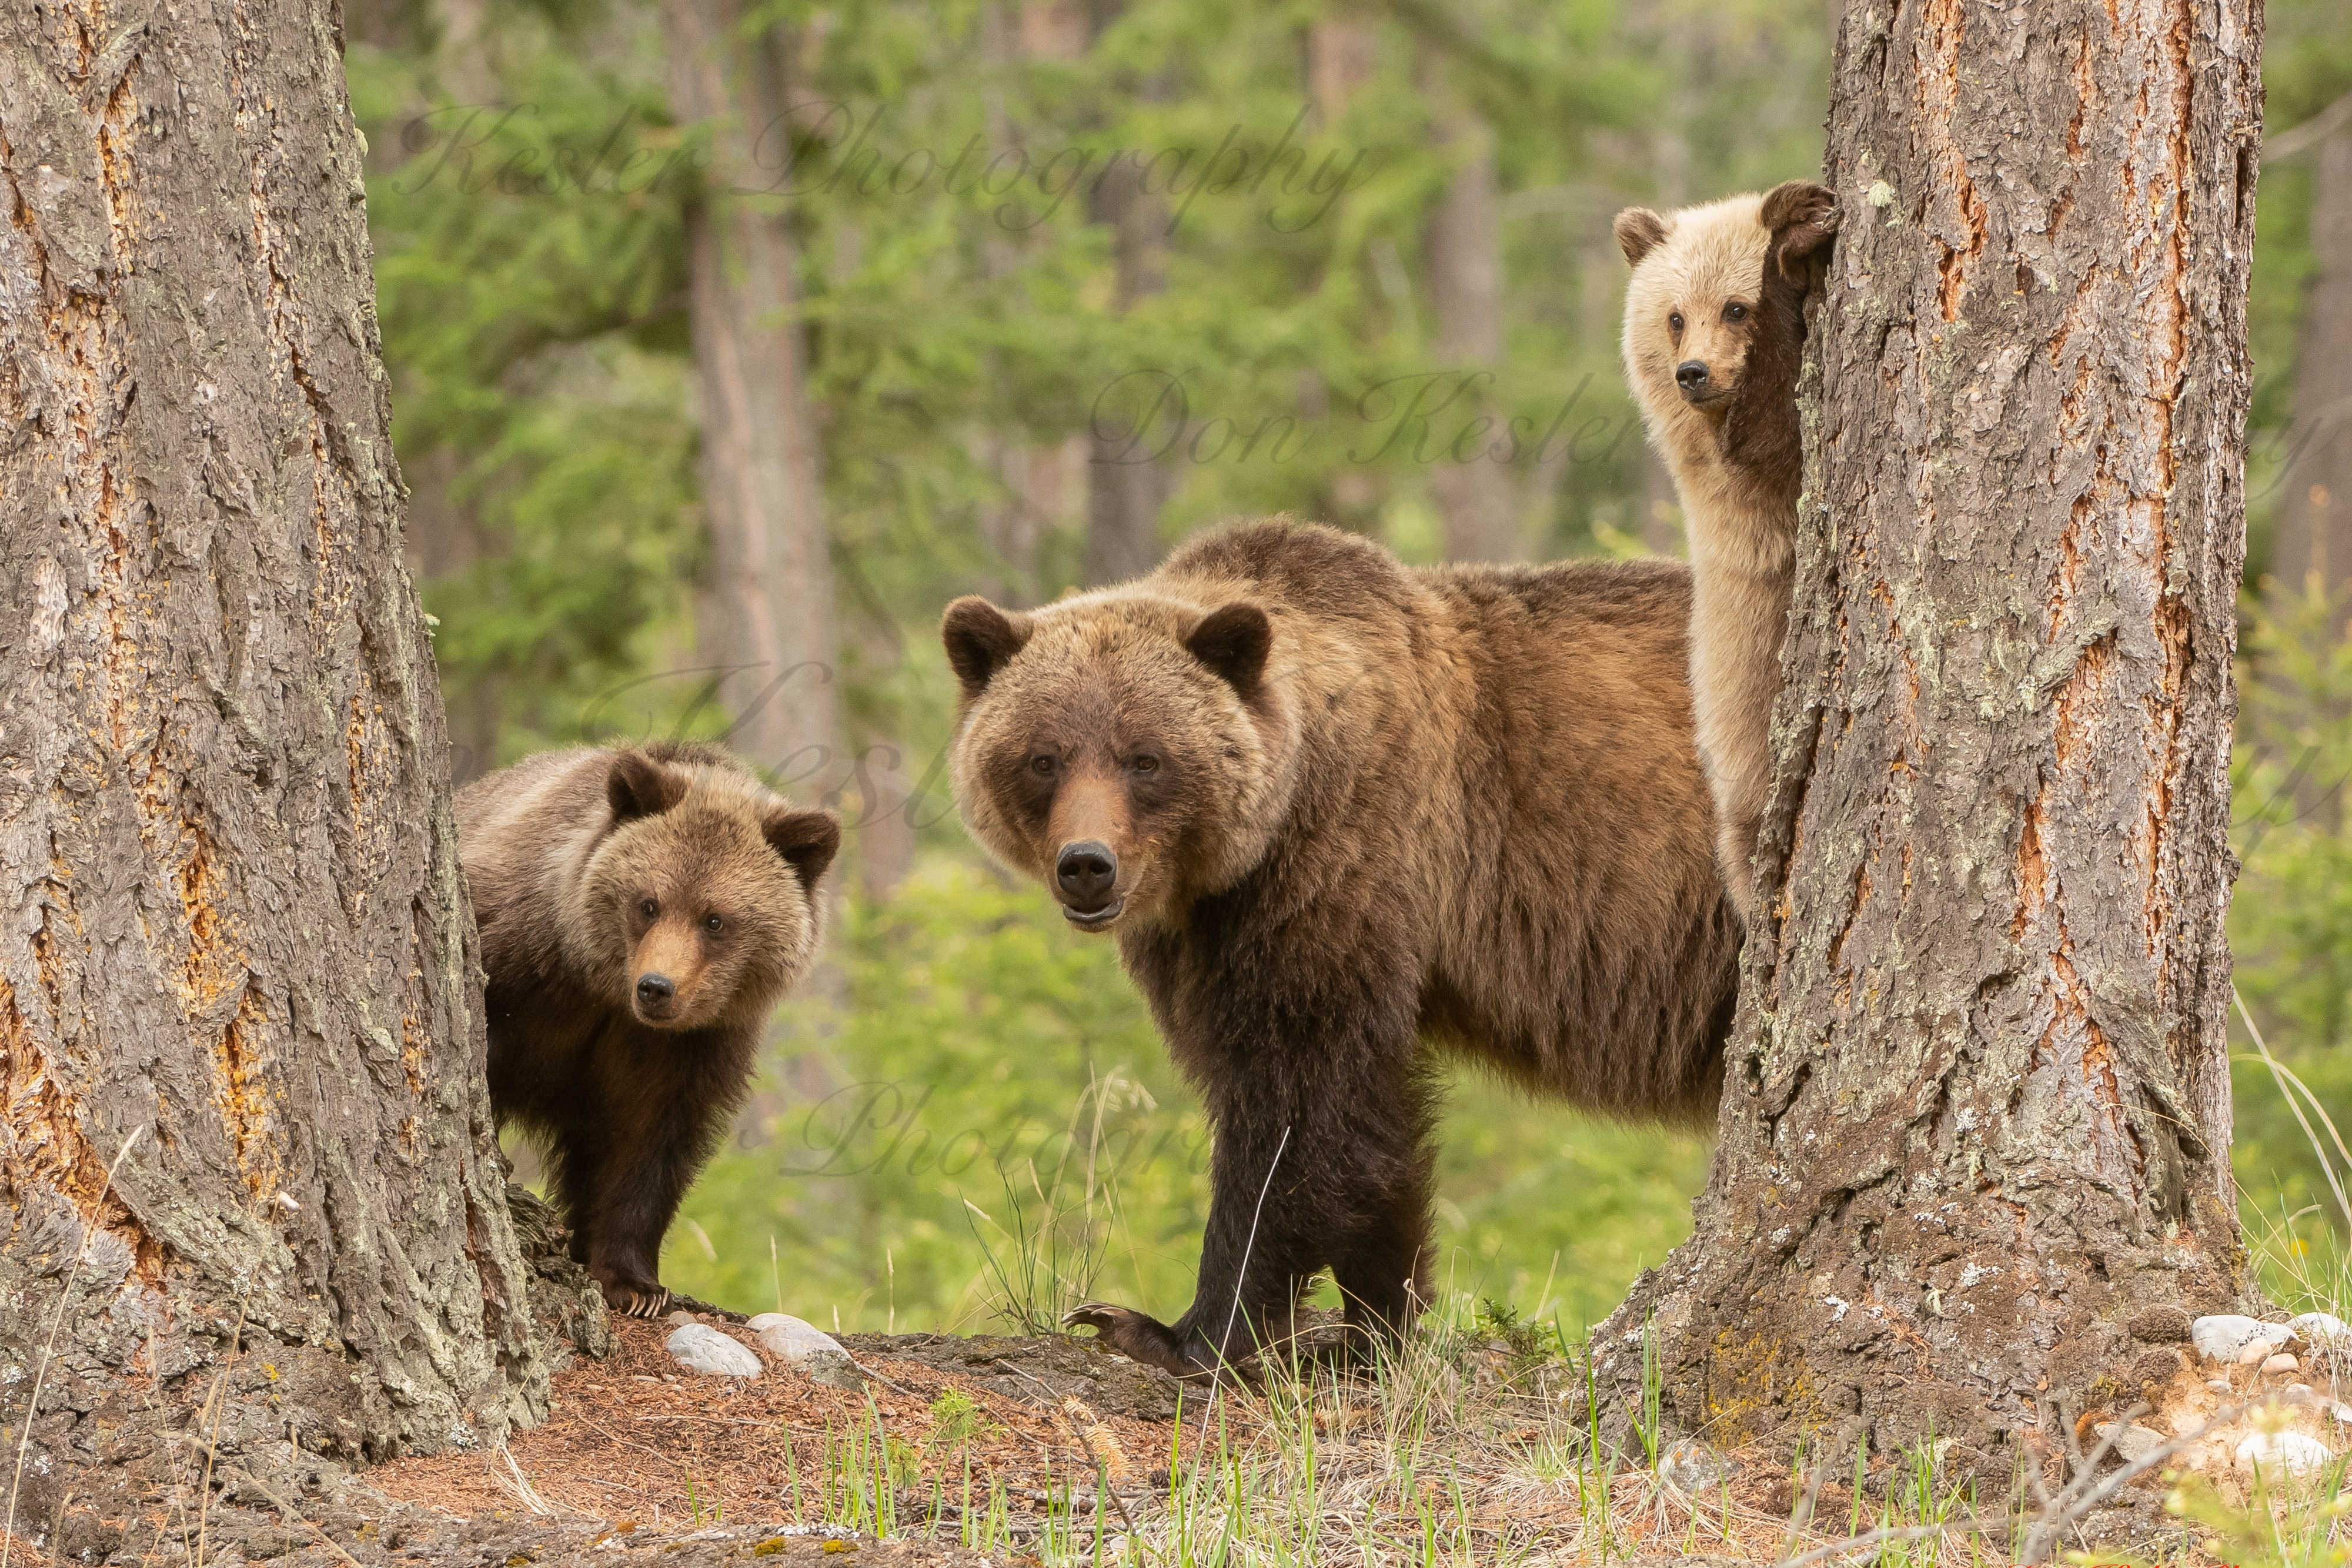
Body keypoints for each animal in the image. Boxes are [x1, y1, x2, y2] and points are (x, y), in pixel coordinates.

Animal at [456, 741, 839, 1316]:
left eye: (715, 919)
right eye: (648, 903)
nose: (657, 987)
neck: (603, 993)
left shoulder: (687, 1045)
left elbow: (647, 1142)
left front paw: (634, 1284)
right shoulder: (517, 963)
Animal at [941, 519, 1741, 1378]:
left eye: (1145, 756)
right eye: (1043, 757)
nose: (1087, 864)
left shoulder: (1339, 866)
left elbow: (1300, 1110)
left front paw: (1170, 1327)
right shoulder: (1210, 930)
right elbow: (1364, 1125)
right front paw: (1375, 1321)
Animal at [1615, 180, 1839, 923]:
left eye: (1732, 307)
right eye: (1675, 316)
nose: (1693, 373)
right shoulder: (1740, 483)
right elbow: (1778, 415)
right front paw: (1794, 226)